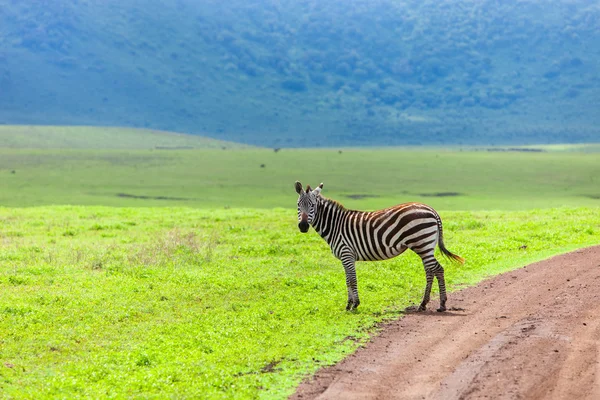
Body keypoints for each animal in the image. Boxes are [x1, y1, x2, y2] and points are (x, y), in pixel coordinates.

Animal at [296, 181, 464, 312]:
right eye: (298, 205)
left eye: (312, 205)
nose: (303, 226)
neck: (335, 225)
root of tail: (432, 210)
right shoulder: (345, 257)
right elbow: (347, 280)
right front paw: (349, 305)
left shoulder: (347, 254)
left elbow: (352, 279)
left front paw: (354, 305)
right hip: (425, 247)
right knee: (430, 271)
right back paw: (423, 304)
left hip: (422, 244)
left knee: (438, 269)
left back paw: (441, 305)